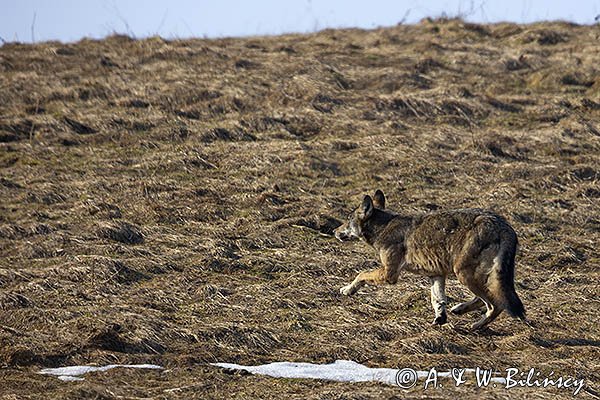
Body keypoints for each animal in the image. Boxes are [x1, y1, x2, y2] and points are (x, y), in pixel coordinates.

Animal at [332, 191, 524, 332]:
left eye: (347, 220)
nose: (334, 231)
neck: (383, 227)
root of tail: (505, 226)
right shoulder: (436, 274)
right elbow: (437, 300)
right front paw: (440, 318)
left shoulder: (389, 274)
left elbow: (361, 274)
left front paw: (347, 289)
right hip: (474, 276)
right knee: (486, 299)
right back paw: (459, 309)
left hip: (464, 274)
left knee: (495, 305)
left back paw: (475, 325)